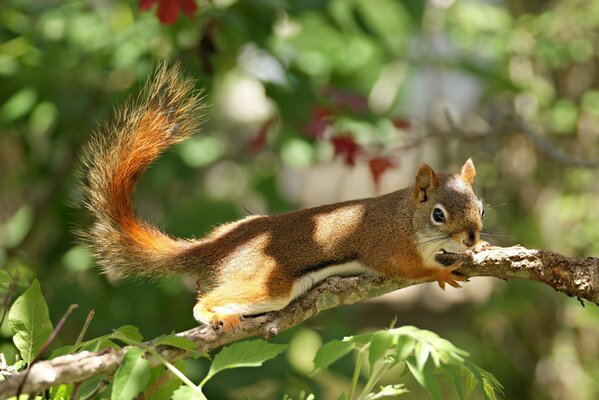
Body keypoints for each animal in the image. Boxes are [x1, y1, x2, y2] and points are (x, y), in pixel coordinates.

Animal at [77, 63, 488, 332]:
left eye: (481, 208)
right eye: (438, 215)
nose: (471, 238)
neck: (406, 217)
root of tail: (223, 245)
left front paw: (479, 249)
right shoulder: (387, 245)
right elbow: (405, 268)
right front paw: (439, 272)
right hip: (267, 281)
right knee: (209, 300)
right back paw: (214, 314)